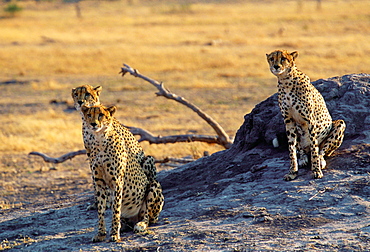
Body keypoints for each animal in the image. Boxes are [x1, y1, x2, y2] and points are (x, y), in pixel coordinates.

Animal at [81, 104, 164, 242]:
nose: (93, 124)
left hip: (153, 185)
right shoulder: (99, 183)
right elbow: (101, 210)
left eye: (101, 115)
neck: (99, 140)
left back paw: (140, 225)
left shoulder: (117, 182)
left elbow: (115, 209)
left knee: (147, 216)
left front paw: (114, 234)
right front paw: (101, 233)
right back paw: (123, 226)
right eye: (89, 115)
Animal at [268, 49, 346, 179]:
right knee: (301, 149)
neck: (286, 81)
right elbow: (291, 149)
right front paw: (292, 172)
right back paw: (303, 158)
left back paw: (320, 161)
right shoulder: (288, 121)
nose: (276, 66)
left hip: (340, 124)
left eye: (283, 58)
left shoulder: (310, 120)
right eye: (272, 59)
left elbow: (314, 149)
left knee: (321, 151)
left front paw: (316, 170)